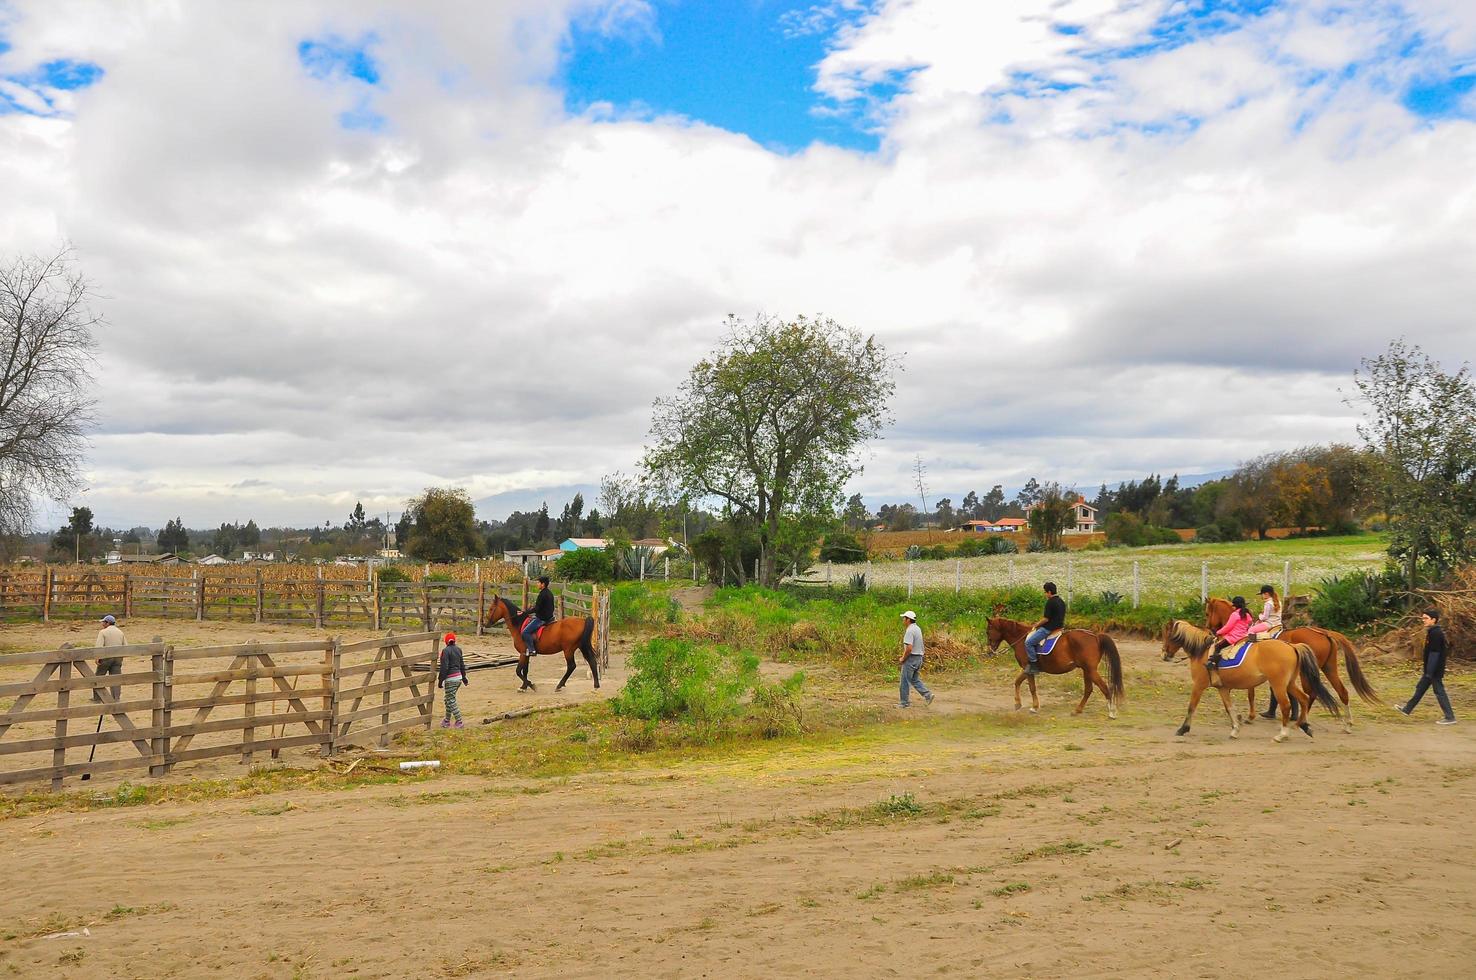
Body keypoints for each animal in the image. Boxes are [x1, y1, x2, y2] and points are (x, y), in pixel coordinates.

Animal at [985, 613, 1121, 720]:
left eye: (988, 631)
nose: (990, 651)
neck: (1021, 639)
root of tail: (1096, 636)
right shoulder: (1027, 669)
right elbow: (1017, 682)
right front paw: (1018, 704)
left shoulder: (1028, 668)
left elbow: (1031, 688)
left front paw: (1034, 707)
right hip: (1086, 670)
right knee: (1088, 690)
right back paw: (1077, 710)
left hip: (1090, 670)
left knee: (1105, 688)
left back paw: (1112, 712)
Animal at [1157, 619, 1346, 743]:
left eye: (1168, 635)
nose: (1164, 655)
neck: (1203, 651)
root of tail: (1291, 646)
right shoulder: (1222, 688)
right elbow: (1230, 708)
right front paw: (1235, 730)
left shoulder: (1199, 685)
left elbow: (1191, 707)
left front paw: (1183, 729)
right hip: (1290, 683)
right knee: (1304, 699)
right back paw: (1303, 725)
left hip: (1278, 684)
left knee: (1286, 705)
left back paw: (1282, 734)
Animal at [1204, 593, 1375, 732]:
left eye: (1207, 613)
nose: (1210, 630)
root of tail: (1324, 632)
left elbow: (1251, 693)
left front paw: (1250, 716)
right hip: (1329, 668)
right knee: (1342, 692)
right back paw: (1347, 725)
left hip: (1308, 672)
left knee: (1311, 694)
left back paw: (1301, 722)